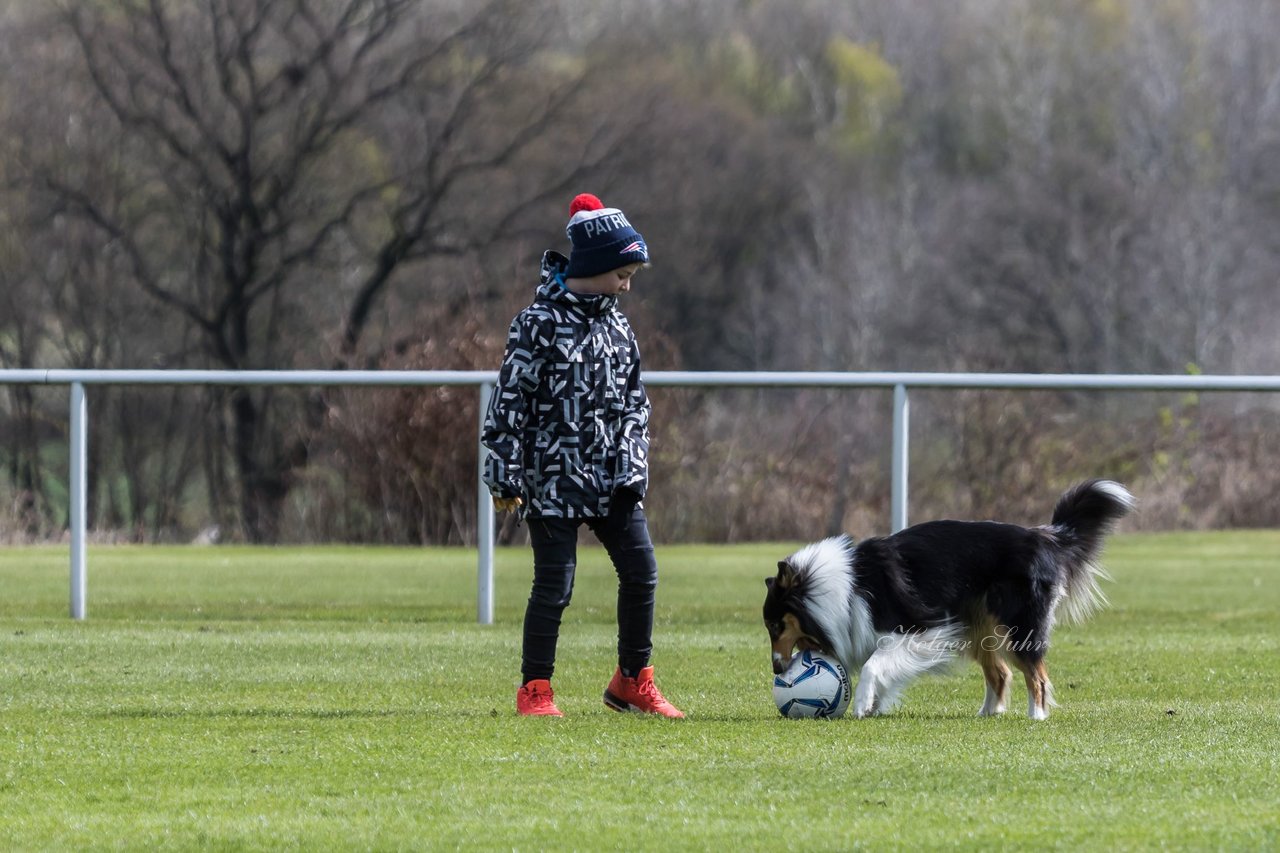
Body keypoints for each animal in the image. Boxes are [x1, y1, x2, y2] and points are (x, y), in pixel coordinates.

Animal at [757, 479, 1131, 717]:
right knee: (1001, 673)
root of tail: (1045, 537)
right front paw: (876, 704)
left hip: (1018, 626)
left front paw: (863, 703)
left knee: (1036, 675)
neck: (835, 587)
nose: (777, 669)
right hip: (978, 628)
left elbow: (874, 662)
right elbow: (882, 665)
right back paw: (987, 714)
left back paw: (1036, 716)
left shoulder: (922, 627)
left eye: (776, 626)